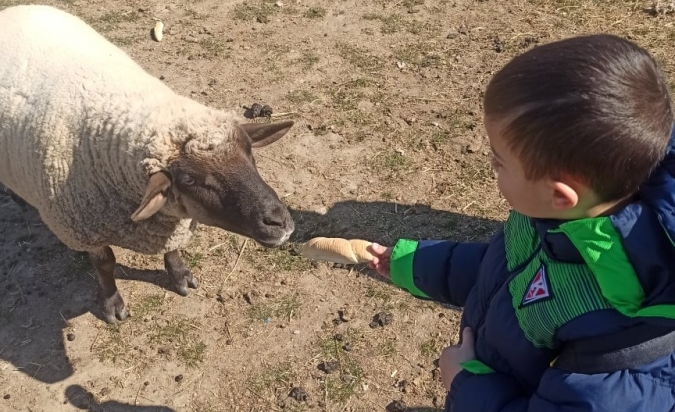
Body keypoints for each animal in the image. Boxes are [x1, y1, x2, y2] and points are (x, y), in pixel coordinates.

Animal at [0, 4, 296, 324]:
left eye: (250, 152)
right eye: (189, 179)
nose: (279, 222)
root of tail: (15, 9)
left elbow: (173, 249)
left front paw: (179, 274)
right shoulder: (85, 232)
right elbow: (105, 265)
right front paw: (112, 303)